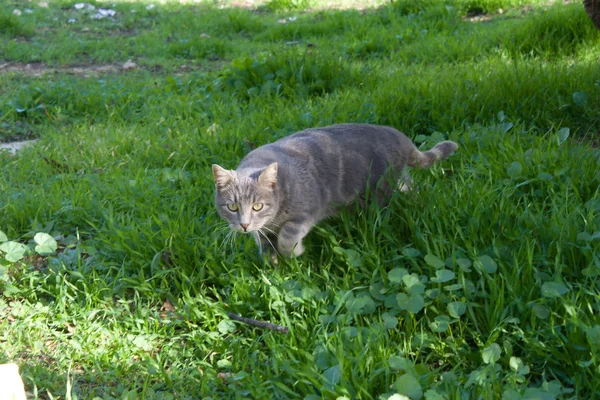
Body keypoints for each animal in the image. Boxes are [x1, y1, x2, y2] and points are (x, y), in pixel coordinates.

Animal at [213, 123, 458, 264]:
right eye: (232, 207)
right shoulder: (261, 229)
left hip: (380, 188)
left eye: (257, 206)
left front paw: (293, 252)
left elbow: (287, 237)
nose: (244, 225)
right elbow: (263, 240)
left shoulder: (306, 211)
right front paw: (270, 259)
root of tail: (400, 137)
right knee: (409, 185)